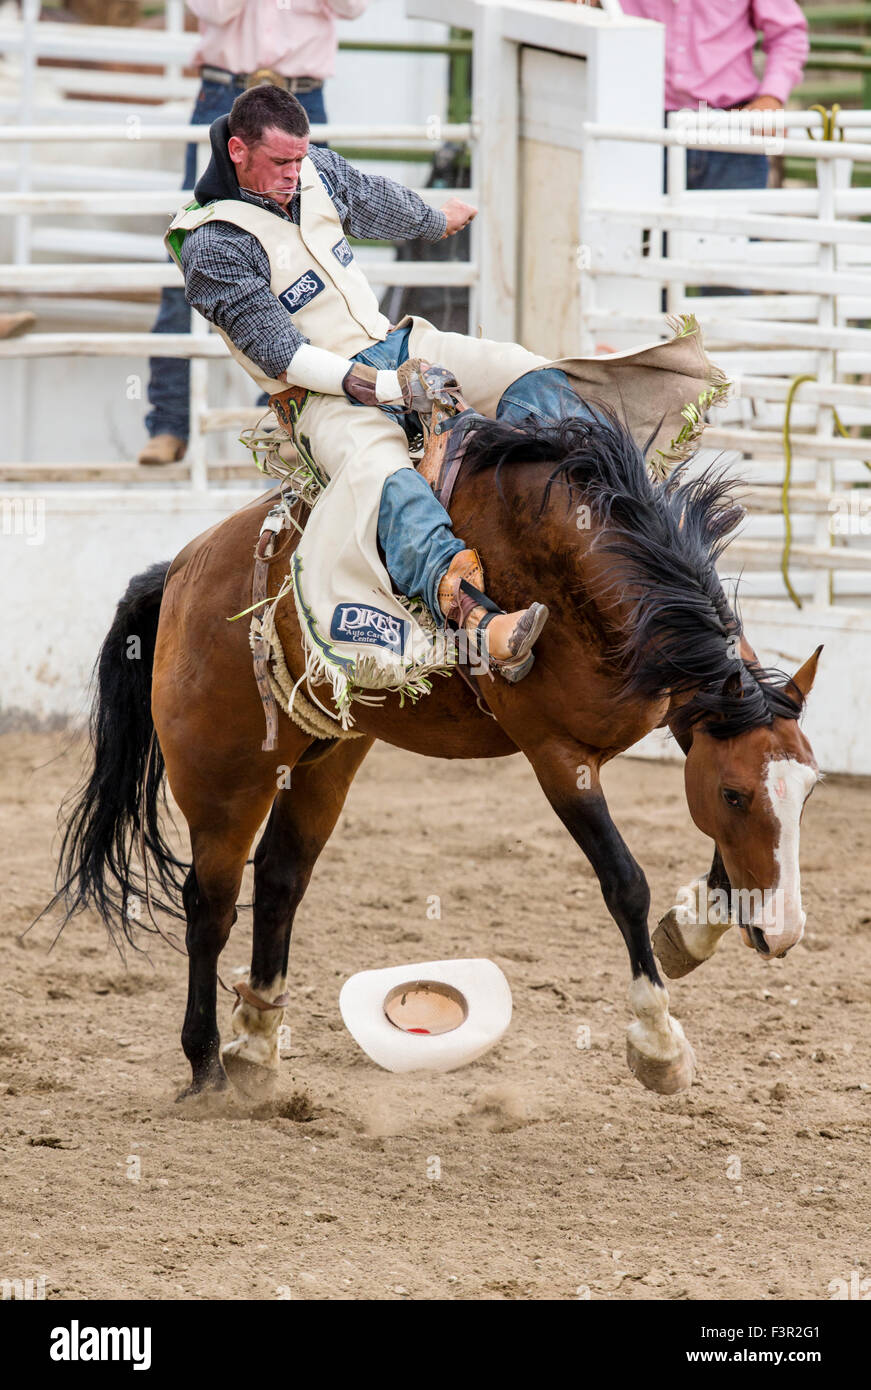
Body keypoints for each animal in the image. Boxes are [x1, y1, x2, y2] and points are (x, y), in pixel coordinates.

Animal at [47, 410, 822, 1100]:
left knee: (278, 880)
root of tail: (181, 571)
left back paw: (258, 1051)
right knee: (209, 904)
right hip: (225, 780)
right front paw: (659, 1046)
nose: (782, 935)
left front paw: (690, 932)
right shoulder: (555, 756)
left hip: (326, 757)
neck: (572, 574)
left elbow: (724, 859)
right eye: (734, 793)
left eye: (809, 792)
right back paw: (206, 1066)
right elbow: (625, 882)